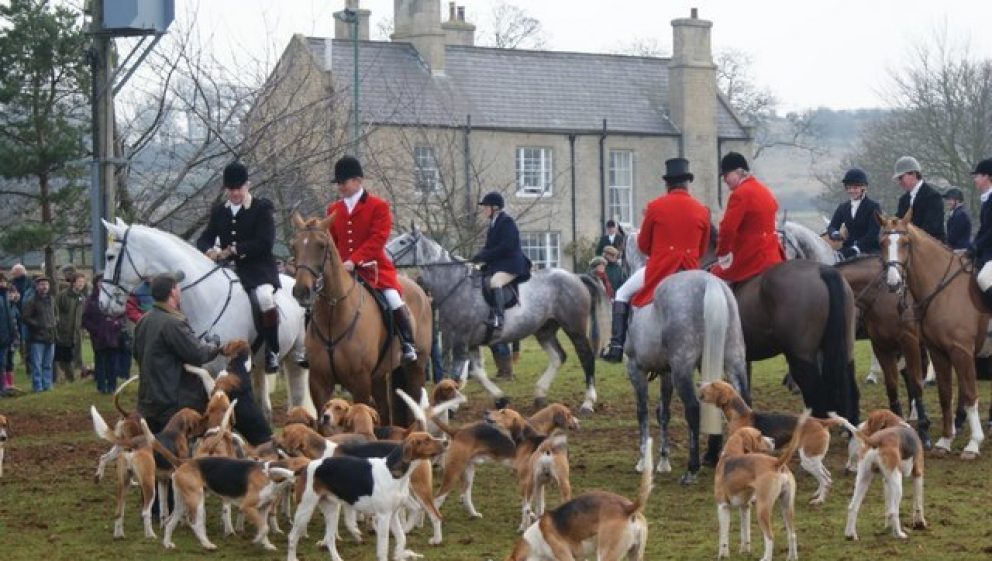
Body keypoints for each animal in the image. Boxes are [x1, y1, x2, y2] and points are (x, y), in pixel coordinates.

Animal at [97, 217, 314, 418]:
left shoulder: (223, 371)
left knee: (297, 399)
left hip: (295, 358)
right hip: (259, 365)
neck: (207, 297)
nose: (103, 303)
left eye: (109, 256)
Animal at [284, 214, 428, 424]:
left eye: (321, 245)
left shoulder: (360, 381)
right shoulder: (319, 382)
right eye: (294, 246)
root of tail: (419, 290)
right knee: (384, 412)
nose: (301, 291)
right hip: (379, 375)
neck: (333, 316)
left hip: (415, 367)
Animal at [384, 228, 608, 412]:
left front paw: (450, 406)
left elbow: (456, 373)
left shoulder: (460, 339)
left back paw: (588, 403)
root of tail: (576, 277)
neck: (454, 284)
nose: (383, 256)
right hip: (544, 329)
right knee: (558, 356)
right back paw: (540, 394)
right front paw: (500, 399)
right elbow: (477, 372)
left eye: (403, 242)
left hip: (574, 327)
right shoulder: (470, 342)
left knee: (585, 357)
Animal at [624, 270, 748, 482]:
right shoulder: (666, 372)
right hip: (734, 358)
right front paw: (663, 461)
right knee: (744, 401)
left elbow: (642, 413)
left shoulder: (636, 369)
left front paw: (642, 461)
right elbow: (663, 414)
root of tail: (710, 281)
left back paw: (692, 469)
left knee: (692, 409)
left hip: (682, 367)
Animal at [880, 212, 980, 458]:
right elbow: (945, 393)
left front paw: (973, 444)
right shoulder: (938, 350)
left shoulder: (962, 351)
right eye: (883, 243)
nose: (894, 283)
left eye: (906, 243)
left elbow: (970, 394)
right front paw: (945, 441)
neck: (945, 290)